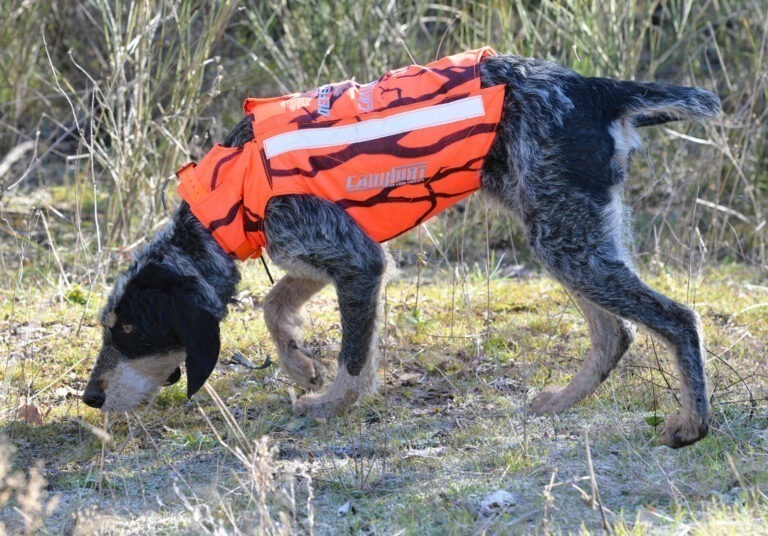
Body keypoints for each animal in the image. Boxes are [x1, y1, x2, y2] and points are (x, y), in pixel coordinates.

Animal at [84, 50, 720, 448]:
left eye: (130, 330)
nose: (90, 397)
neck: (235, 190)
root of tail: (594, 88)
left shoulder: (360, 263)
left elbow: (354, 357)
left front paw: (330, 404)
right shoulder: (321, 257)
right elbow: (273, 305)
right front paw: (298, 364)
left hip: (567, 243)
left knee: (677, 320)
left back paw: (692, 423)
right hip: (567, 236)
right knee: (616, 333)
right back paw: (564, 402)